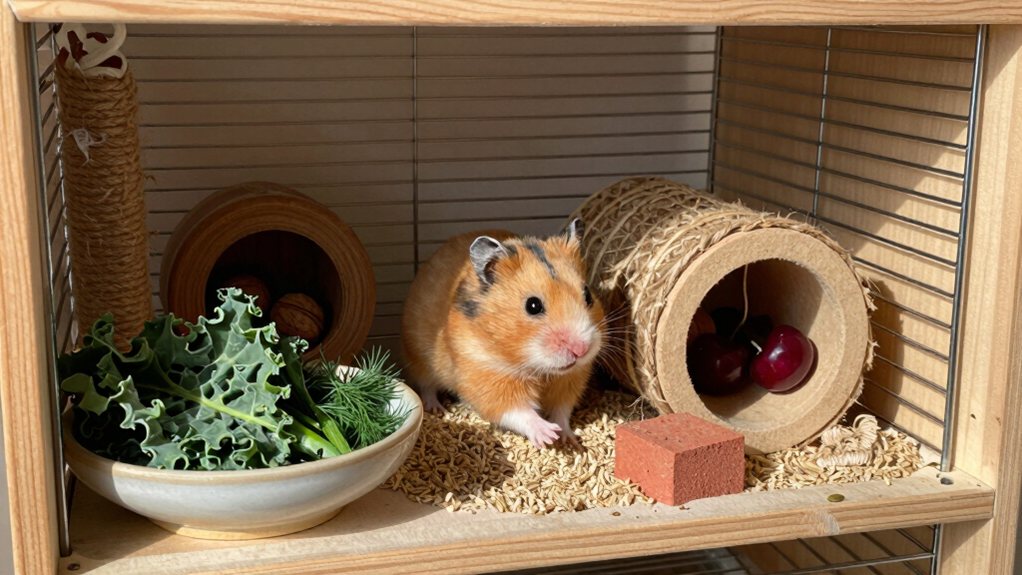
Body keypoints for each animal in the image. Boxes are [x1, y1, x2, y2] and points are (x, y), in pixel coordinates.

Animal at [401, 219, 605, 448]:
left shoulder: (571, 380)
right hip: (418, 358)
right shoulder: (486, 376)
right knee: (426, 386)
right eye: (533, 306)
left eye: (588, 295)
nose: (581, 349)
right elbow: (518, 411)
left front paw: (567, 438)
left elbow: (562, 410)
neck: (539, 369)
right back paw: (435, 408)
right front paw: (548, 435)